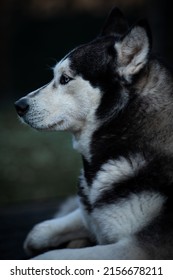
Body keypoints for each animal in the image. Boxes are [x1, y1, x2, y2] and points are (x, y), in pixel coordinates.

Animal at [13, 7, 173, 260]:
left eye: (65, 79)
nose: (18, 106)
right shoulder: (92, 215)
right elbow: (39, 230)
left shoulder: (138, 248)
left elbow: (52, 256)